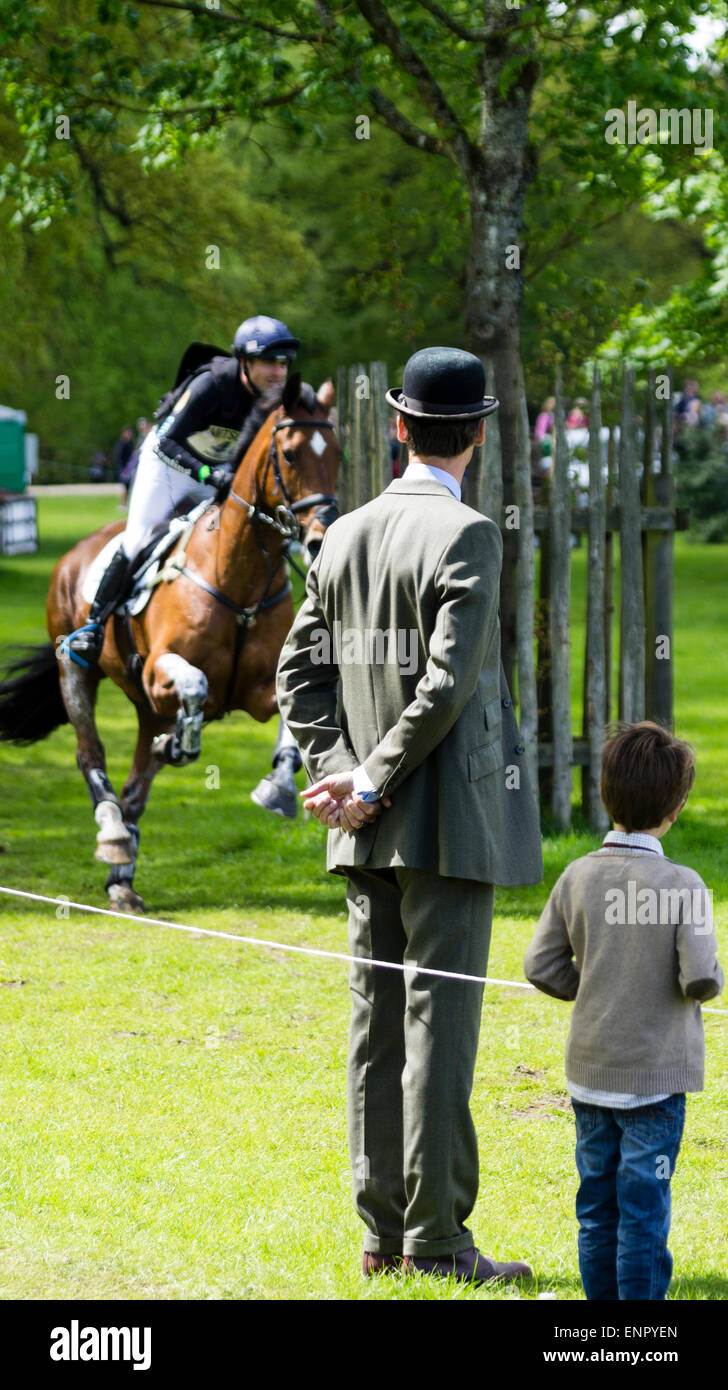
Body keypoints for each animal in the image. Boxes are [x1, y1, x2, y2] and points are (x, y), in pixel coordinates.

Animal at [0, 375, 341, 911]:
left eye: (339, 453)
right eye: (289, 453)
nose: (320, 537)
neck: (238, 578)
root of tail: (76, 554)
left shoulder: (256, 691)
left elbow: (289, 719)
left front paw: (278, 789)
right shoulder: (160, 673)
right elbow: (197, 686)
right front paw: (180, 746)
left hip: (146, 710)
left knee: (136, 786)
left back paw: (122, 879)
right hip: (77, 671)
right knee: (91, 754)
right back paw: (113, 832)